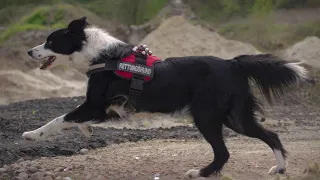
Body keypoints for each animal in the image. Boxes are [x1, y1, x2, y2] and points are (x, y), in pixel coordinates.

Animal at [23, 17, 308, 179]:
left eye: (50, 42)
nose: (28, 52)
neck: (102, 56)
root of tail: (233, 63)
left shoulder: (95, 104)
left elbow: (59, 119)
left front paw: (32, 135)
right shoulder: (110, 108)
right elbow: (74, 119)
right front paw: (86, 131)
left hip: (208, 116)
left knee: (224, 152)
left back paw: (200, 173)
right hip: (234, 116)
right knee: (272, 136)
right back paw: (280, 169)